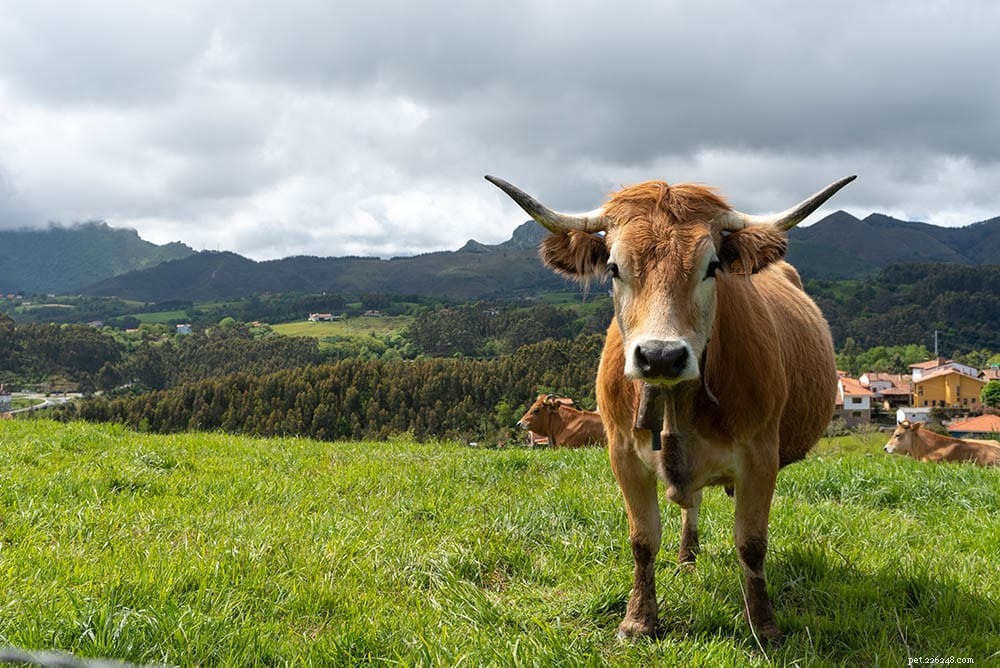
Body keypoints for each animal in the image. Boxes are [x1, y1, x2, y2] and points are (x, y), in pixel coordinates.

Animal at [487, 173, 854, 645]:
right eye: (614, 267)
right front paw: (638, 620)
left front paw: (764, 625)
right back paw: (686, 557)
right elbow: (642, 540)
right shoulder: (622, 453)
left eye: (712, 266)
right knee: (689, 503)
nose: (660, 356)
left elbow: (752, 544)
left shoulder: (761, 456)